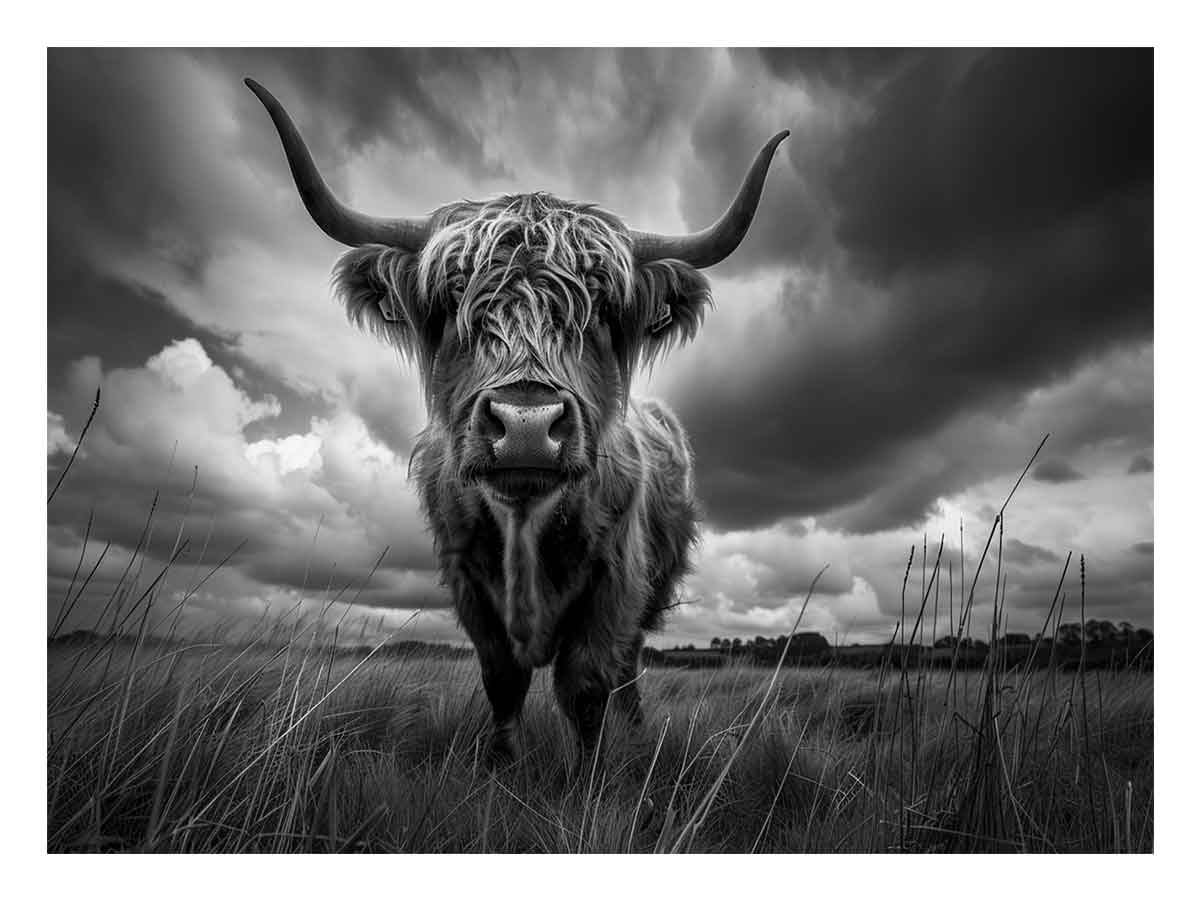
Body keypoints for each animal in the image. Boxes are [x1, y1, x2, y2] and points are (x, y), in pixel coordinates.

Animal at [246, 78, 786, 766]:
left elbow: (587, 685)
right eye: (453, 298)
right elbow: (502, 678)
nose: (527, 424)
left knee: (629, 667)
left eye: (601, 308)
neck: (526, 525)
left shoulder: (616, 579)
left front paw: (590, 778)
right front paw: (502, 766)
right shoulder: (467, 581)